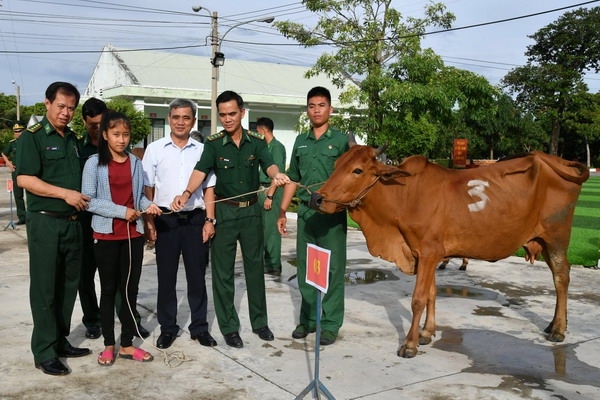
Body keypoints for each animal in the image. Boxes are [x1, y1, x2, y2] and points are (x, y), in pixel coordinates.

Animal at [312, 145, 588, 358]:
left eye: (357, 170)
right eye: (336, 164)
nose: (316, 198)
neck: (405, 196)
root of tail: (557, 160)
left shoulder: (428, 252)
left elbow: (418, 299)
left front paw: (410, 344)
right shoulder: (428, 254)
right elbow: (432, 294)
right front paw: (426, 332)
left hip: (557, 237)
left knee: (561, 277)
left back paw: (558, 330)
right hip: (544, 240)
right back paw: (554, 324)